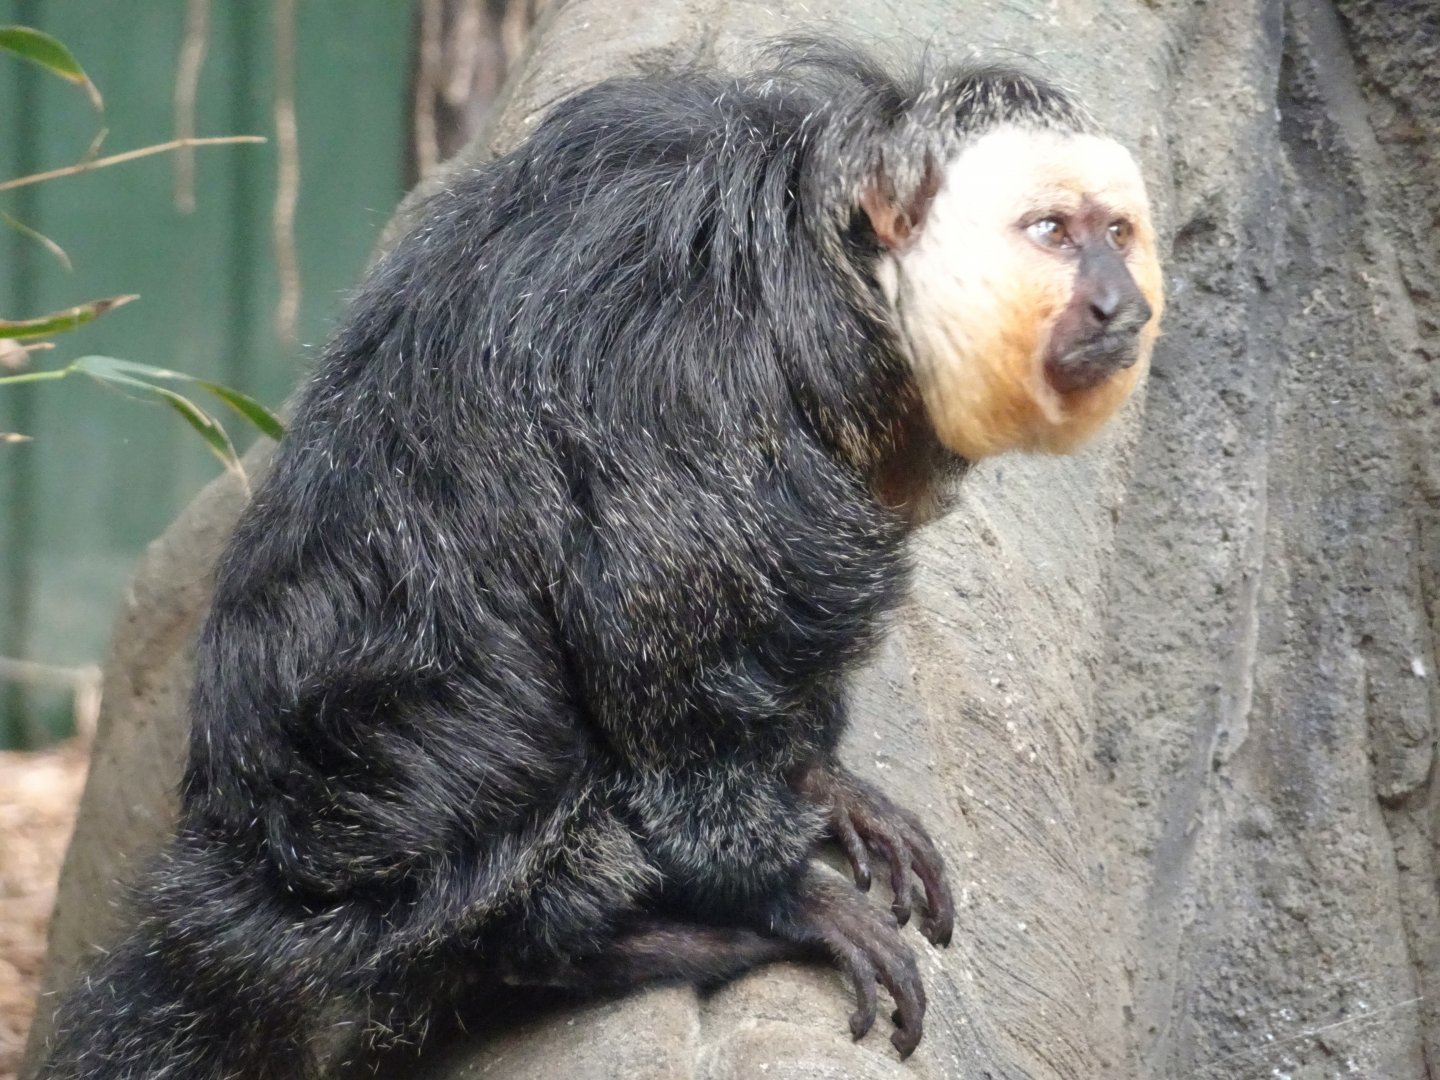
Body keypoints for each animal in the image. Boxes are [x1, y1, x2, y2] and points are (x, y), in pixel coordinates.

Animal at [34, 41, 1161, 1079]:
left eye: (1116, 235)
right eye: (1052, 234)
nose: (1121, 305)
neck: (840, 279)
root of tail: (248, 873)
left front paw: (820, 778)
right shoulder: (699, 381)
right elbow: (665, 660)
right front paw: (779, 890)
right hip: (403, 859)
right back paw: (625, 943)